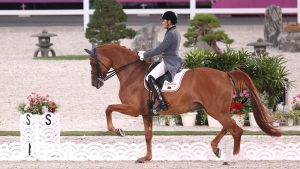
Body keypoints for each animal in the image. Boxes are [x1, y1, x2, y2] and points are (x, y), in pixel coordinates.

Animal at [86, 44, 282, 163]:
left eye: (92, 62)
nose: (95, 84)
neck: (132, 73)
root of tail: (226, 74)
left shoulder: (133, 109)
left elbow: (108, 108)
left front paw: (118, 131)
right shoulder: (146, 113)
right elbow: (148, 136)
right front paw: (146, 158)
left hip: (215, 110)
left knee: (235, 130)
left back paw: (231, 160)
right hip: (217, 110)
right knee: (228, 127)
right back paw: (215, 149)